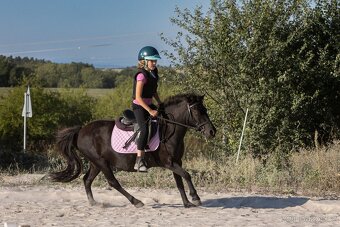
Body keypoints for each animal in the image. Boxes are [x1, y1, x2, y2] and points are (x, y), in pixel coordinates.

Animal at [49, 92, 216, 207]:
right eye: (198, 111)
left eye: (205, 109)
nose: (212, 132)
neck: (169, 128)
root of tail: (80, 131)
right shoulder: (169, 163)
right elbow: (186, 175)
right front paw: (196, 198)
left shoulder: (176, 162)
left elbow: (180, 181)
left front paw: (187, 203)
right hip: (101, 162)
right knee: (113, 182)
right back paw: (136, 202)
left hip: (95, 163)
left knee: (87, 180)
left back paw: (94, 203)